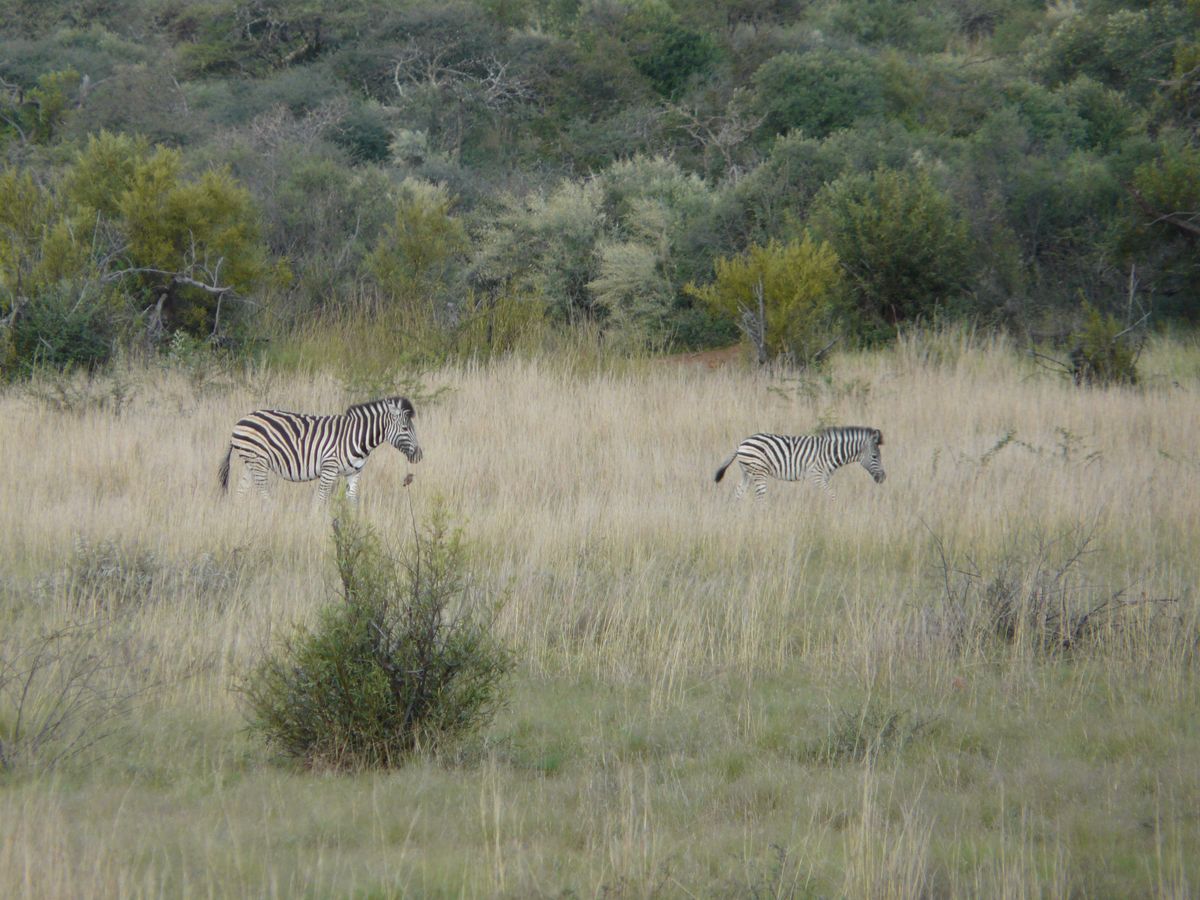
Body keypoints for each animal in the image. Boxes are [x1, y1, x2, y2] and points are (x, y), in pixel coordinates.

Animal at [218, 396, 422, 502]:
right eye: (405, 428)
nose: (419, 456)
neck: (357, 438)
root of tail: (241, 421)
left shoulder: (354, 473)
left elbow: (352, 501)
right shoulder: (329, 469)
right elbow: (320, 499)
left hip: (251, 463)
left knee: (241, 491)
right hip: (258, 461)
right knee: (263, 491)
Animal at [714, 426, 885, 499]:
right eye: (875, 456)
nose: (883, 478)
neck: (830, 453)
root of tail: (741, 444)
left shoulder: (822, 478)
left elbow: (820, 496)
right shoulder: (817, 476)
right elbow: (831, 495)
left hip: (748, 473)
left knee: (738, 493)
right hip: (758, 471)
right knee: (759, 497)